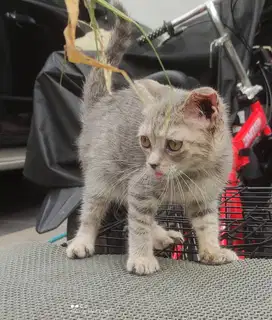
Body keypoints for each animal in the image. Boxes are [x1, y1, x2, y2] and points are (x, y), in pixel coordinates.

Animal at [67, 1, 237, 274]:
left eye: (173, 144)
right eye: (145, 141)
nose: (152, 164)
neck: (194, 172)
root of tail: (102, 102)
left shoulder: (204, 197)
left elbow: (207, 224)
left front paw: (213, 250)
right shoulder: (141, 185)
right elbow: (138, 227)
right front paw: (141, 258)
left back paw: (162, 235)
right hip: (101, 176)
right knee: (93, 210)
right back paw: (82, 241)